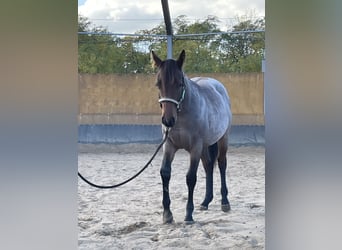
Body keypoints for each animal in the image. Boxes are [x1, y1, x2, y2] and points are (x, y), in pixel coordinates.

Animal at [152, 49, 234, 224]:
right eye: (158, 84)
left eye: (180, 84)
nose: (168, 120)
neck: (182, 116)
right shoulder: (169, 145)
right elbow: (165, 173)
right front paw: (167, 214)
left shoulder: (195, 148)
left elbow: (190, 178)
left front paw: (188, 214)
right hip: (205, 146)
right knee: (208, 166)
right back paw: (205, 202)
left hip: (223, 139)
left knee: (221, 164)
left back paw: (224, 202)